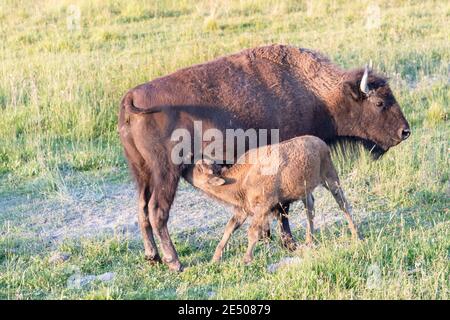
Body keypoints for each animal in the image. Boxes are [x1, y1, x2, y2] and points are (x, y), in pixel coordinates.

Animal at [118, 44, 410, 270]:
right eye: (379, 103)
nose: (405, 131)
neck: (318, 93)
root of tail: (131, 97)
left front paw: (270, 237)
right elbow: (284, 207)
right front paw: (287, 242)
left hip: (142, 174)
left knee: (141, 209)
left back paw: (153, 257)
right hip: (166, 173)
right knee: (158, 211)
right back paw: (174, 261)